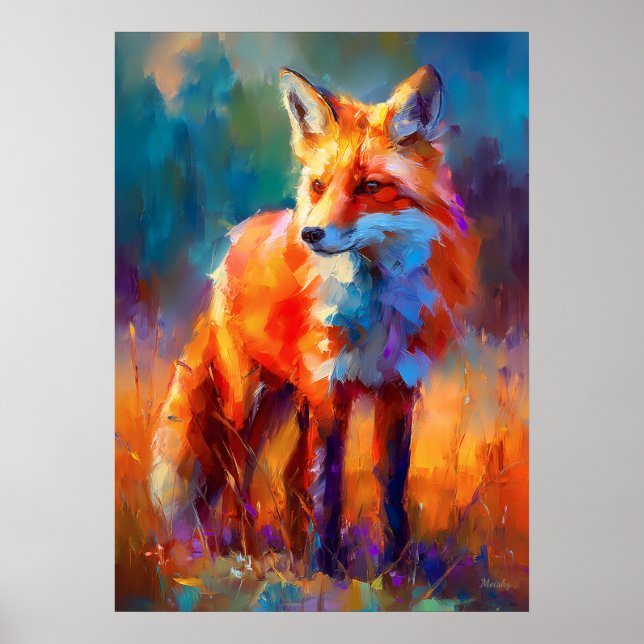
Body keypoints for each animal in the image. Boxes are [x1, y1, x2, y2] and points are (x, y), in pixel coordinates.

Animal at [149, 65, 479, 577]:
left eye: (370, 187)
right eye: (321, 185)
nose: (310, 234)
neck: (374, 310)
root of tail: (236, 238)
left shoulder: (397, 390)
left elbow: (391, 490)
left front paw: (396, 569)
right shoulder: (330, 388)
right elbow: (330, 486)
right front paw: (330, 572)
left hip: (292, 398)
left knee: (288, 478)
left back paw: (292, 549)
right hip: (250, 401)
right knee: (238, 473)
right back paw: (246, 552)